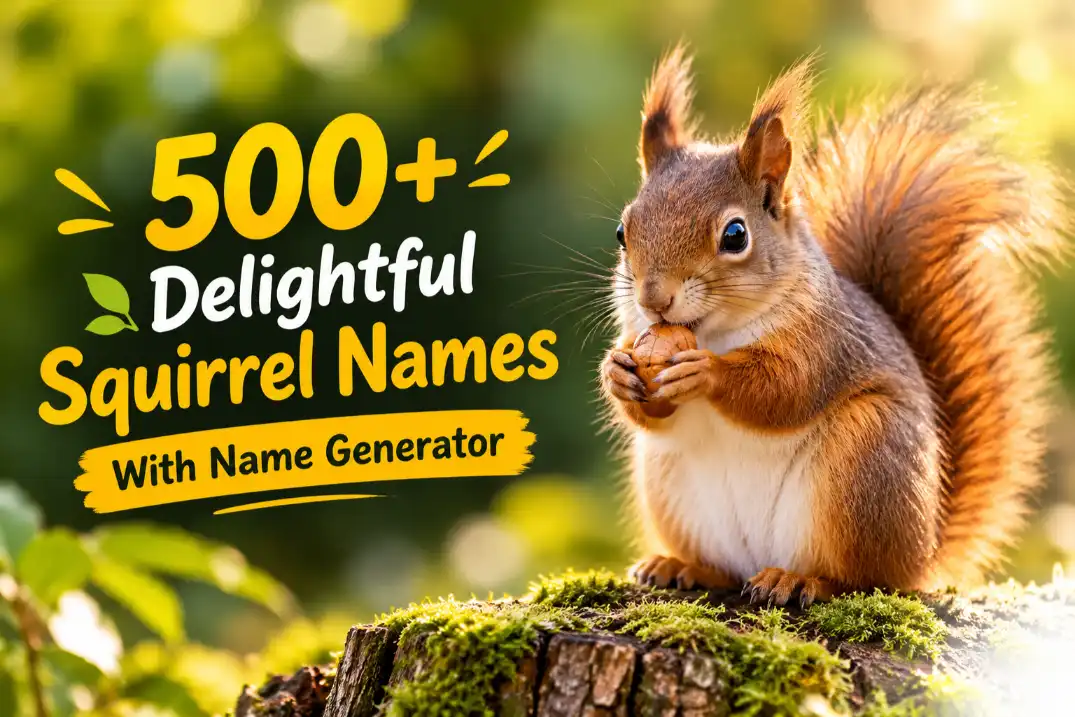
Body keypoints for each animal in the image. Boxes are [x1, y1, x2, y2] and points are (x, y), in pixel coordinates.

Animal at [600, 47, 1068, 607]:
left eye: (735, 235)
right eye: (622, 231)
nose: (654, 300)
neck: (716, 330)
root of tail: (924, 554)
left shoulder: (825, 341)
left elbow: (785, 390)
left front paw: (704, 372)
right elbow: (655, 413)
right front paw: (617, 372)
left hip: (865, 462)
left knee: (862, 579)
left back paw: (802, 580)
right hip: (670, 483)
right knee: (727, 569)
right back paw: (682, 566)